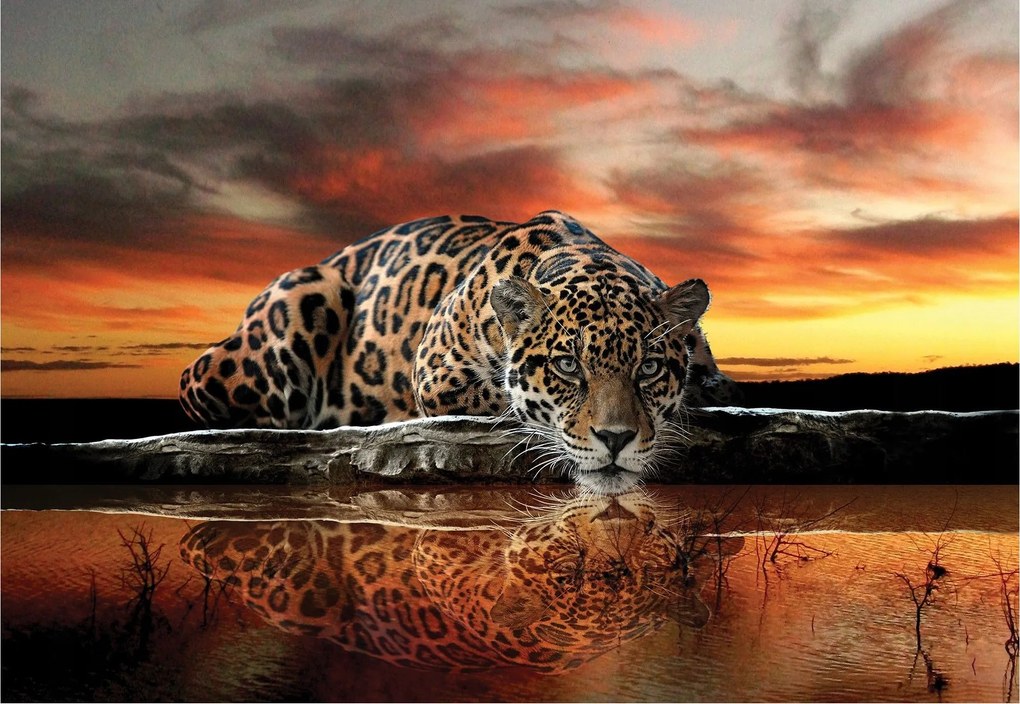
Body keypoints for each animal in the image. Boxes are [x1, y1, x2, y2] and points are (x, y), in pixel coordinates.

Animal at [179, 210, 741, 494]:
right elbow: (508, 401)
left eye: (648, 368)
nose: (617, 440)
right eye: (566, 366)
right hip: (299, 302)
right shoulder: (435, 373)